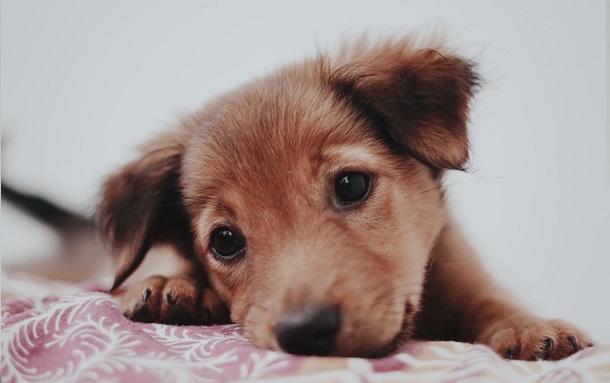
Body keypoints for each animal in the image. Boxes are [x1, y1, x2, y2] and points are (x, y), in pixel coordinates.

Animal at [98, 35, 588, 360]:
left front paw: (528, 327)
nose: (304, 333)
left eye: (351, 185)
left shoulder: (469, 276)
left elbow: (492, 300)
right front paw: (175, 284)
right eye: (224, 240)